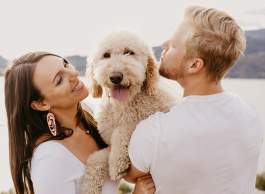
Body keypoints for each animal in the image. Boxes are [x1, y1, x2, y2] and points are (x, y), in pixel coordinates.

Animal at [79, 31, 176, 193]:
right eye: (106, 55)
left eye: (129, 52)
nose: (116, 77)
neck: (122, 105)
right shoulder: (108, 144)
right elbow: (95, 159)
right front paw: (89, 187)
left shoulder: (144, 117)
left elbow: (123, 131)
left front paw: (116, 165)